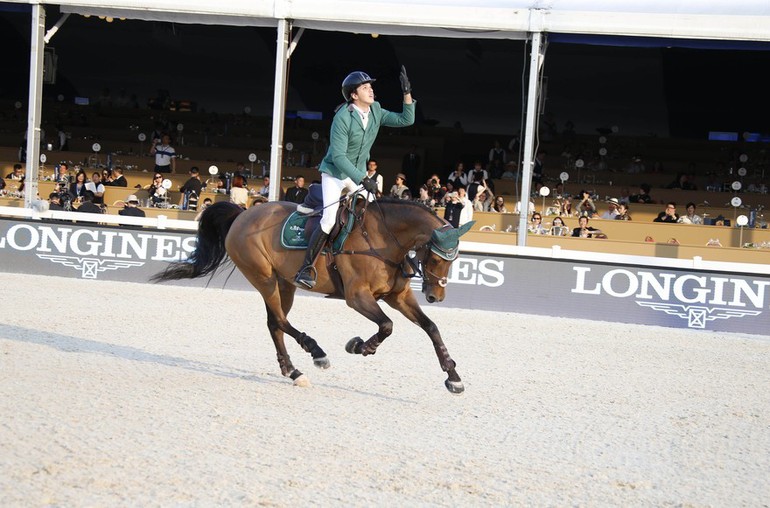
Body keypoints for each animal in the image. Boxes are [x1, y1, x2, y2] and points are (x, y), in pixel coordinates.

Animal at [152, 197, 472, 392]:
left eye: (454, 259)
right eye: (435, 258)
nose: (436, 297)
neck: (382, 238)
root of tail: (244, 213)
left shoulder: (398, 297)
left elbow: (431, 327)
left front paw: (453, 376)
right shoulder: (357, 297)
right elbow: (387, 325)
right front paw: (360, 346)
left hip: (285, 284)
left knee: (274, 323)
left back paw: (293, 371)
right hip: (264, 278)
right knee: (280, 321)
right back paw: (316, 353)